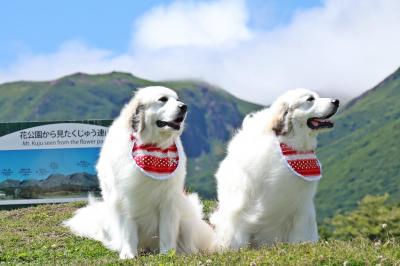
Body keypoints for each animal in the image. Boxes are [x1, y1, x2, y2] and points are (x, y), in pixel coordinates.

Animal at [65, 86, 216, 258]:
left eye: (177, 100)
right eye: (162, 99)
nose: (184, 107)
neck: (152, 146)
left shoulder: (168, 200)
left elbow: (167, 231)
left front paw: (167, 254)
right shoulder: (126, 198)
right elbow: (129, 231)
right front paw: (128, 255)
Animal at [211, 89, 340, 249]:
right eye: (310, 99)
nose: (336, 101)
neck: (291, 146)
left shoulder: (301, 207)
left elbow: (301, 233)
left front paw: (301, 245)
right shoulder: (240, 204)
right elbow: (237, 229)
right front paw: (233, 248)